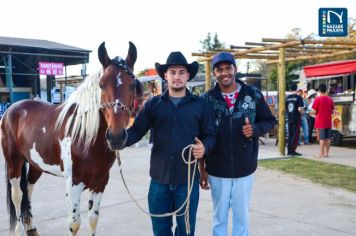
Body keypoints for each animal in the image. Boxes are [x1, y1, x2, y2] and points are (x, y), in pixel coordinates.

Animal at [0, 41, 142, 235]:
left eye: (132, 85)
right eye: (101, 85)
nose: (116, 137)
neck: (85, 137)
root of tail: (11, 109)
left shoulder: (100, 183)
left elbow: (93, 220)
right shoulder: (73, 184)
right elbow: (74, 224)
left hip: (36, 164)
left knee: (28, 189)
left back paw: (31, 227)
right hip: (14, 163)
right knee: (17, 195)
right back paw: (19, 229)